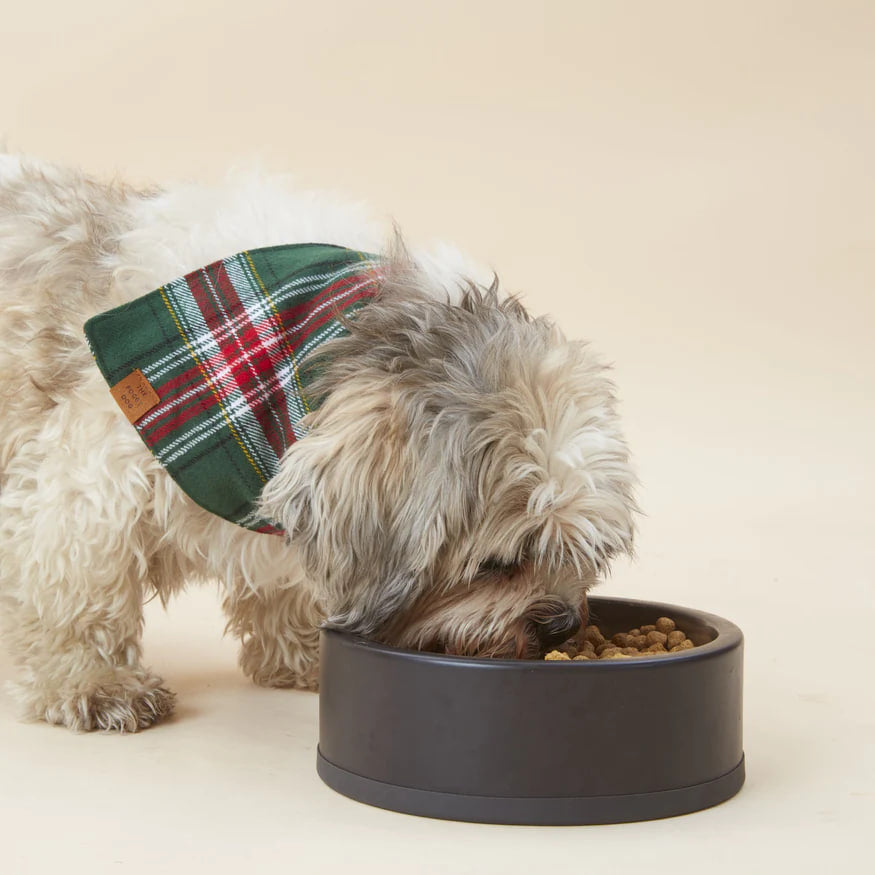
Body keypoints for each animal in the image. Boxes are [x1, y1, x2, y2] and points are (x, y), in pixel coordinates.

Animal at [0, 156, 636, 732]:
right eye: (498, 565)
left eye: (585, 554)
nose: (560, 624)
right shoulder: (91, 487)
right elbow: (82, 595)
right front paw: (92, 680)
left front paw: (304, 650)